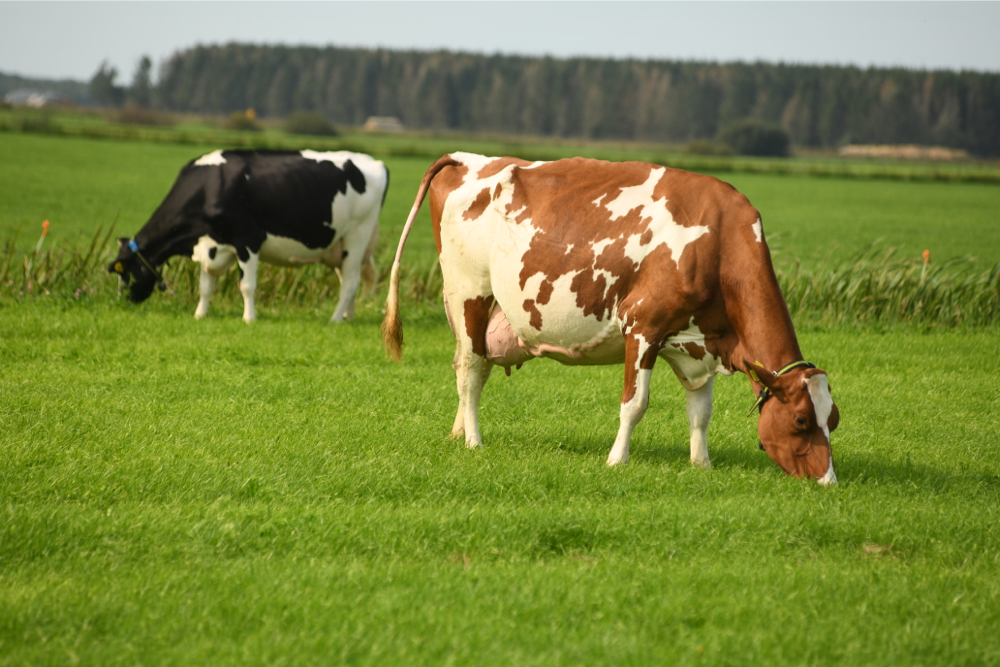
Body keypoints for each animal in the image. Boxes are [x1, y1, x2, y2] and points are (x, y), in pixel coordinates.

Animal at [109, 150, 388, 322]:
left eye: (126, 272)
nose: (123, 302)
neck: (210, 188)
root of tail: (376, 163)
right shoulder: (209, 245)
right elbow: (205, 287)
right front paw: (200, 315)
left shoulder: (248, 239)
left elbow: (246, 285)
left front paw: (249, 318)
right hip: (339, 246)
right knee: (348, 280)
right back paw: (347, 317)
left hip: (357, 234)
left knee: (350, 282)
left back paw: (334, 319)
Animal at [386, 154, 840, 482]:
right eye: (801, 419)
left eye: (833, 419)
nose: (827, 482)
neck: (718, 241)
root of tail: (469, 159)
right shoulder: (643, 327)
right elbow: (635, 404)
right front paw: (617, 460)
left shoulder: (700, 342)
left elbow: (700, 411)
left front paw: (701, 464)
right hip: (469, 293)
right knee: (470, 370)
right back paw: (474, 442)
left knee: (470, 367)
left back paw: (459, 432)